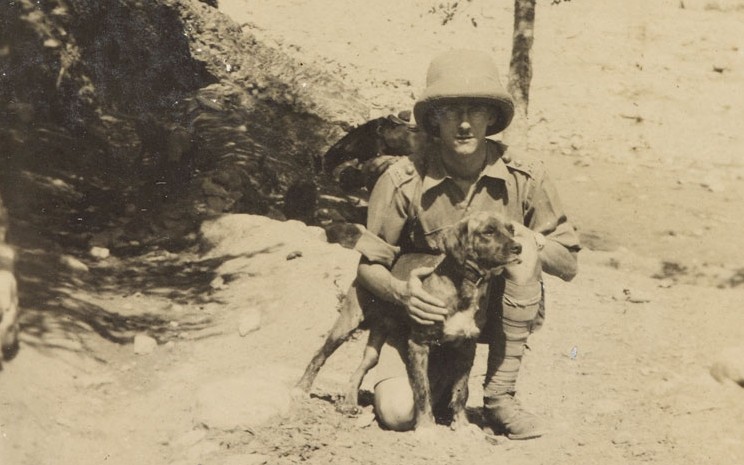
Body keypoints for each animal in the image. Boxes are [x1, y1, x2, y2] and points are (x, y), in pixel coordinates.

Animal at [294, 212, 520, 430]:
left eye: (511, 230)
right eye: (488, 231)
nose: (518, 247)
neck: (464, 285)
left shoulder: (466, 347)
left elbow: (461, 390)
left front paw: (462, 424)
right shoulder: (419, 344)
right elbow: (422, 390)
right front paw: (427, 427)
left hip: (378, 335)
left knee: (362, 366)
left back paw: (349, 402)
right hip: (347, 323)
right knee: (319, 356)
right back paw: (301, 388)